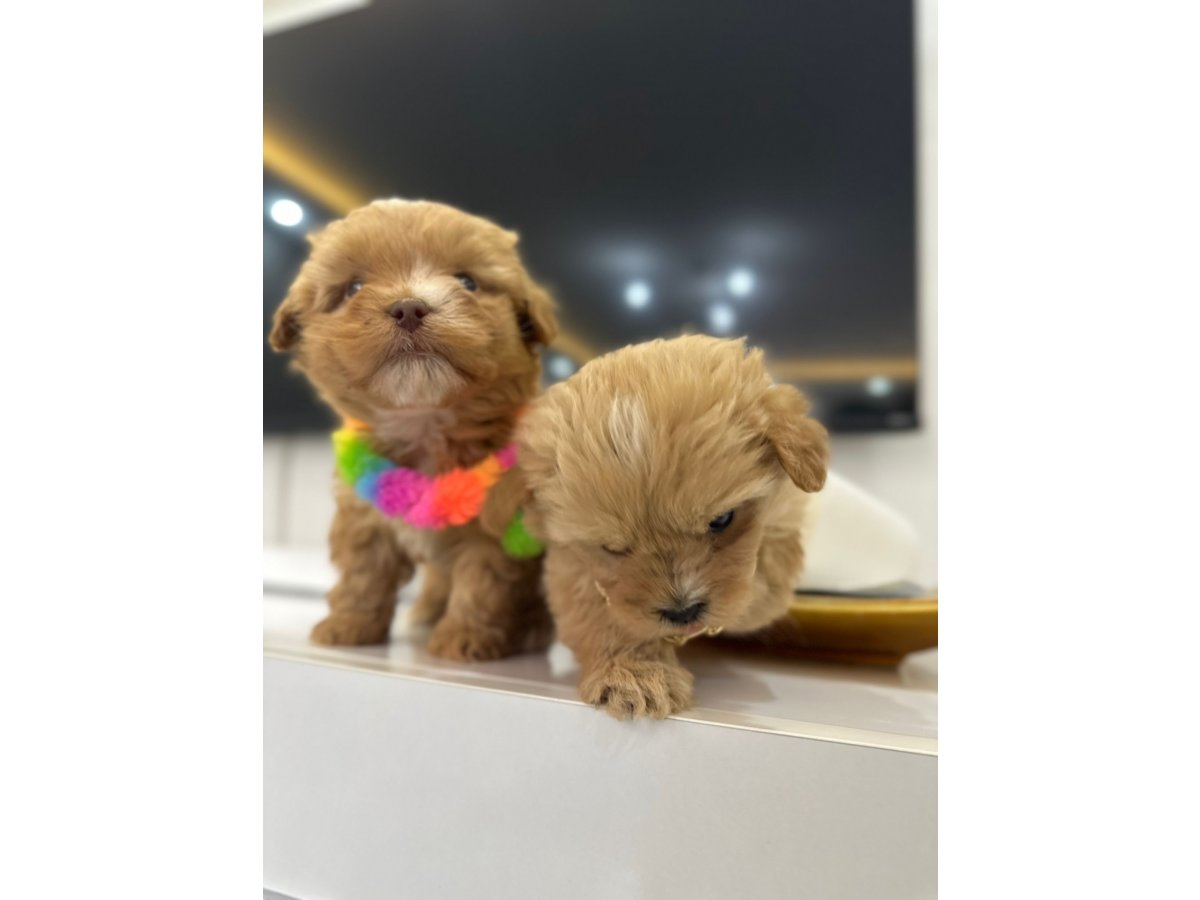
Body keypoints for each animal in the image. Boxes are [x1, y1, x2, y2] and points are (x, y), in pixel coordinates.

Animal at [269, 199, 558, 660]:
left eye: (467, 281)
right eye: (353, 288)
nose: (409, 307)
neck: (424, 419)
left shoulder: (497, 527)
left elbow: (484, 582)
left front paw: (465, 638)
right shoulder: (364, 515)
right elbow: (363, 572)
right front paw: (348, 626)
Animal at [483, 335, 829, 717]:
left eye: (721, 520)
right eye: (611, 548)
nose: (683, 611)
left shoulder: (783, 518)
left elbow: (768, 579)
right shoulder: (572, 567)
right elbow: (602, 617)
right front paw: (633, 675)